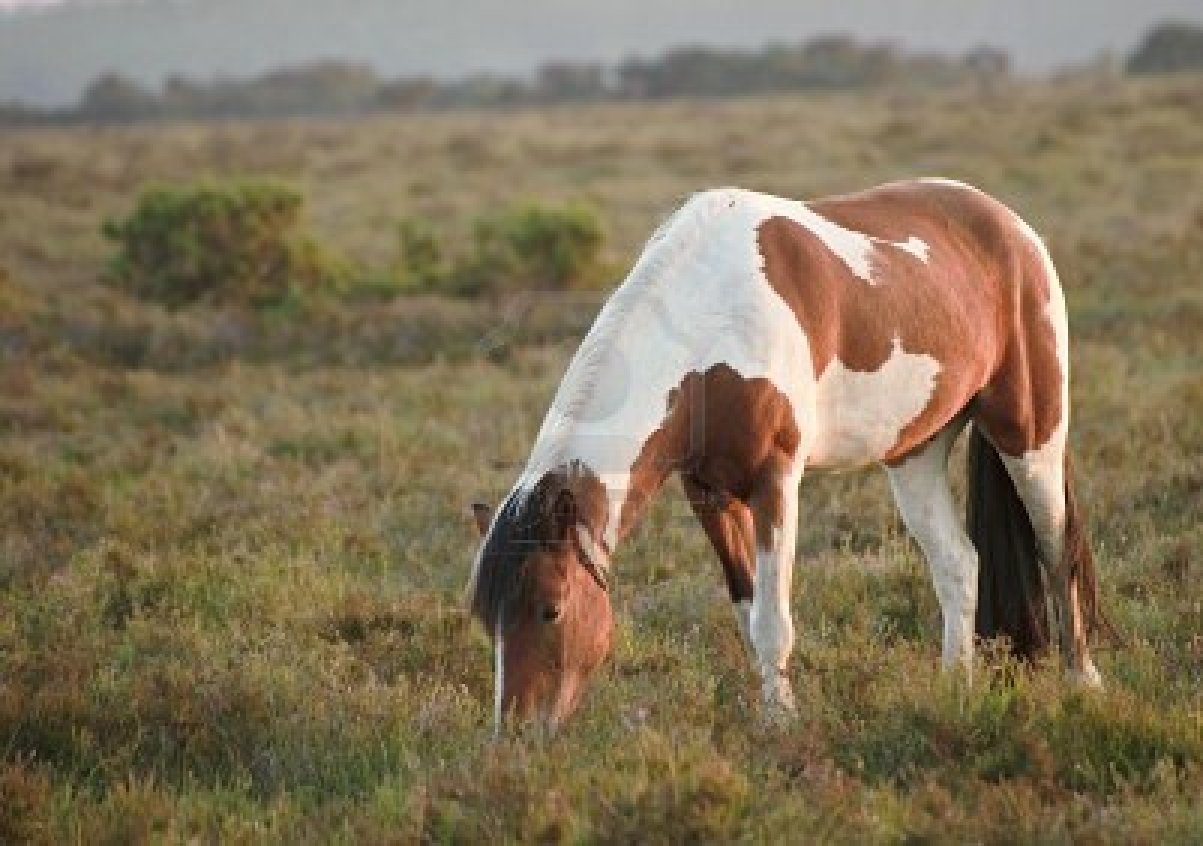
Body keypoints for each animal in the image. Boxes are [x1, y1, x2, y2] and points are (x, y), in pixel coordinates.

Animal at [466, 180, 1101, 736]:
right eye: (484, 617)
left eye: (550, 609)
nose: (516, 735)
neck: (711, 321)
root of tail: (1012, 228)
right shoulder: (709, 495)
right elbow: (749, 612)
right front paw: (777, 710)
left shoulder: (774, 485)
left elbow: (773, 621)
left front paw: (779, 726)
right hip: (915, 454)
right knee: (958, 565)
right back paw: (955, 690)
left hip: (1031, 435)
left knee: (1057, 550)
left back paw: (1082, 683)